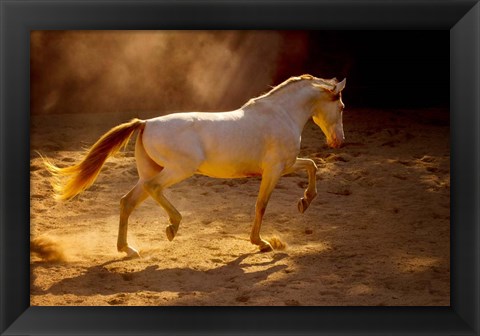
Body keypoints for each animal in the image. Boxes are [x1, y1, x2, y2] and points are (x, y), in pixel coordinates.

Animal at [44, 74, 344, 258]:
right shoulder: (274, 169)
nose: (338, 141)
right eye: (341, 106)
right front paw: (262, 243)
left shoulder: (287, 165)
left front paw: (304, 202)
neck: (280, 114)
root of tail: (145, 123)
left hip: (150, 173)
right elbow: (262, 204)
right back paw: (172, 226)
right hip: (178, 170)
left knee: (127, 201)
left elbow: (312, 166)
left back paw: (128, 249)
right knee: (153, 190)